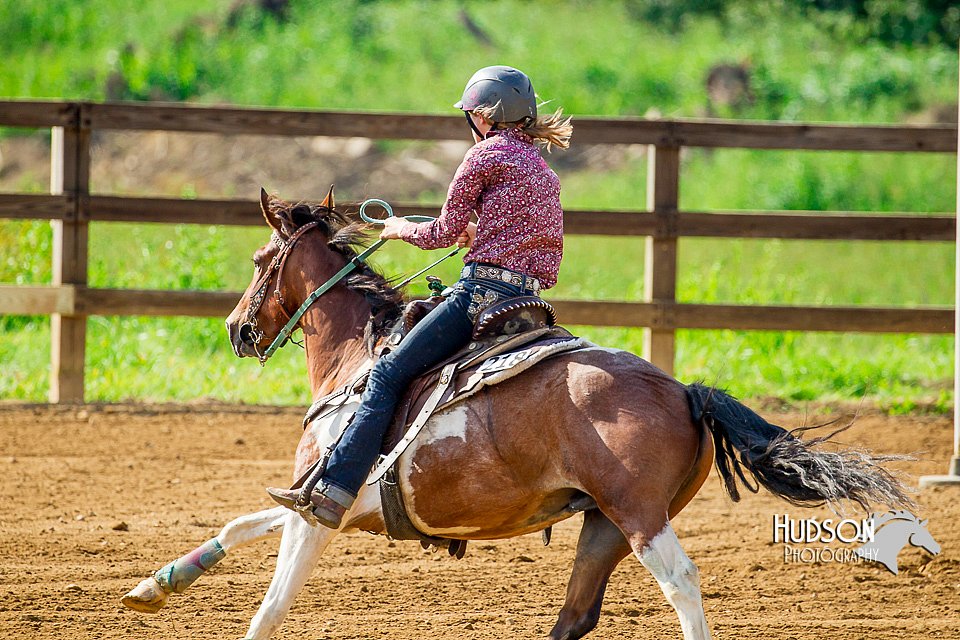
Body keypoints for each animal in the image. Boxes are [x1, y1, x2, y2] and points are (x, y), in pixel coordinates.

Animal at [122, 189, 916, 640]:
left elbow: (270, 608)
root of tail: (685, 390)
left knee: (682, 587)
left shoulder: (323, 502)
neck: (360, 354)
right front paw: (156, 586)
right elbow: (241, 522)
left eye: (261, 261)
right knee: (576, 614)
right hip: (602, 523)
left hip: (638, 516)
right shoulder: (324, 500)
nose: (237, 330)